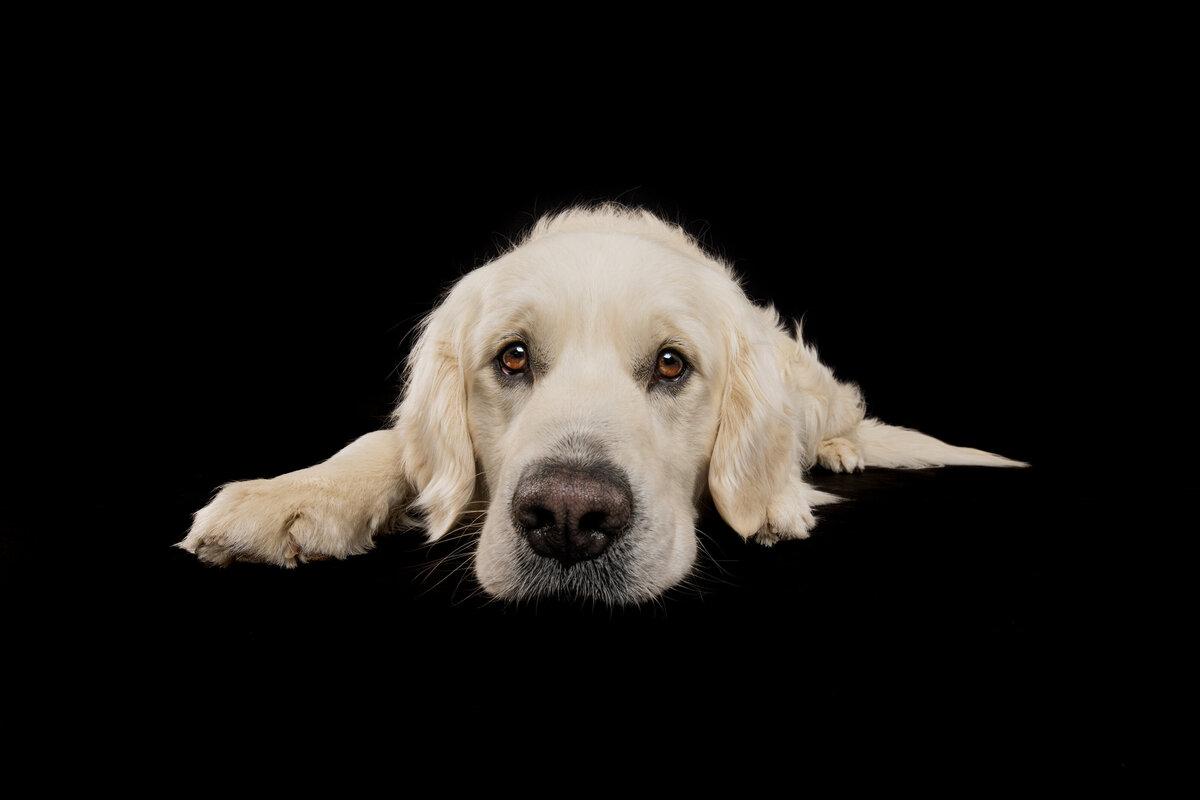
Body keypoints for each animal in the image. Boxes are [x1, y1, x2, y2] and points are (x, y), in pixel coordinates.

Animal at [175, 203, 1022, 604]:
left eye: (672, 364)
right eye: (513, 356)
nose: (568, 518)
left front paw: (776, 502)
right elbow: (383, 444)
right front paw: (293, 494)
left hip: (814, 377)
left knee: (834, 418)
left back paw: (828, 454)